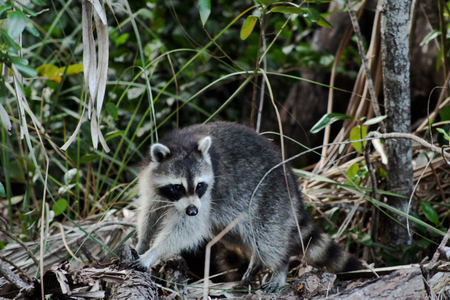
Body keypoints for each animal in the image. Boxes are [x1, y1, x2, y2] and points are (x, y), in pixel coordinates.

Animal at [135, 120, 360, 292]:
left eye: (199, 185)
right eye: (177, 187)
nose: (192, 210)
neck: (182, 142)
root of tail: (292, 183)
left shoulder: (207, 195)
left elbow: (188, 229)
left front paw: (152, 253)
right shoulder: (151, 185)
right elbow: (149, 214)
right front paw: (143, 243)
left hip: (270, 199)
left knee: (267, 237)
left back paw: (279, 267)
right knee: (238, 234)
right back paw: (255, 264)